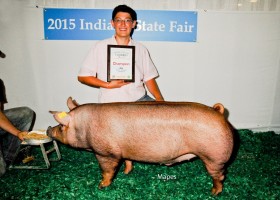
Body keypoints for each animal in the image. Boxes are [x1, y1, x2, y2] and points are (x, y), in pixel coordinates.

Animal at [47, 97, 234, 195]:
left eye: (62, 126)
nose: (49, 129)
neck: (85, 126)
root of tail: (218, 111)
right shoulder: (124, 151)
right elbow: (128, 161)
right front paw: (126, 172)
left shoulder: (106, 153)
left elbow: (107, 170)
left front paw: (101, 186)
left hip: (214, 156)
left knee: (220, 176)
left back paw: (214, 192)